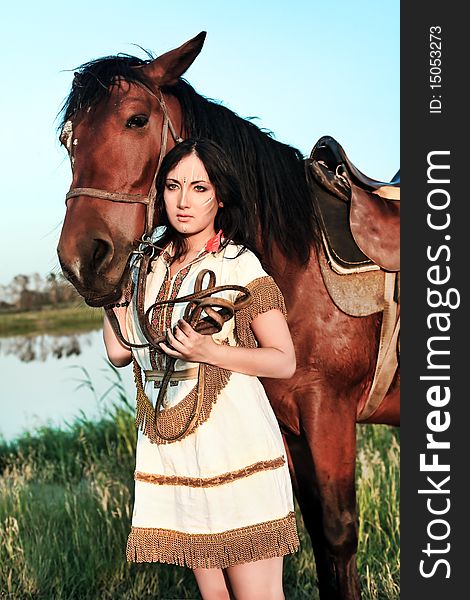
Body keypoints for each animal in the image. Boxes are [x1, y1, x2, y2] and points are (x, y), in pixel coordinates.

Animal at [57, 32, 398, 600]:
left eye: (136, 119)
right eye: (69, 140)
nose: (83, 259)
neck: (296, 257)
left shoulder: (328, 411)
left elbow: (336, 536)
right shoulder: (289, 422)